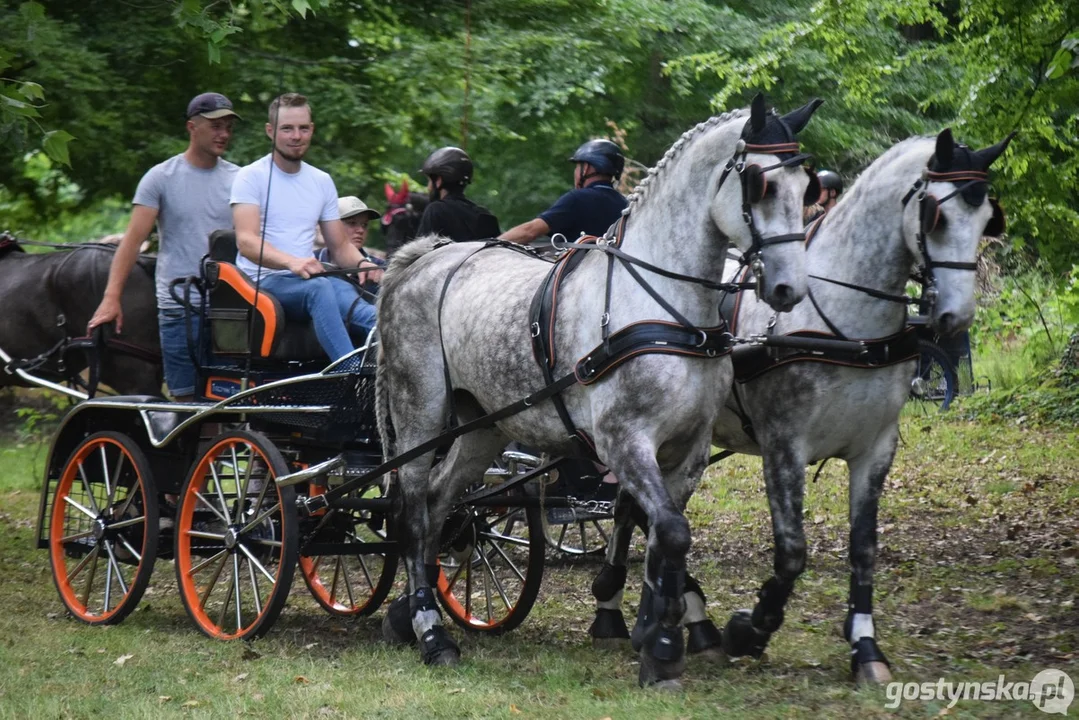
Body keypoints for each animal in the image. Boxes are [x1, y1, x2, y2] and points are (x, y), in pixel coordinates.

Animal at [375, 95, 820, 686]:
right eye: (758, 183)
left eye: (806, 186)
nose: (789, 287)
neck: (665, 309)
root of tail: (424, 257)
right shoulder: (623, 441)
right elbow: (669, 531)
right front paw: (660, 642)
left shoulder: (688, 449)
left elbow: (664, 536)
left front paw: (659, 629)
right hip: (419, 415)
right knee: (412, 511)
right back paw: (431, 630)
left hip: (483, 426)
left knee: (439, 501)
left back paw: (409, 612)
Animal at [586, 126, 1014, 686]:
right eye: (936, 216)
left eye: (987, 219)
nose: (955, 317)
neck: (845, 323)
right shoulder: (783, 446)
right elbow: (791, 552)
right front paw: (751, 629)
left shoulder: (877, 448)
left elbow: (864, 548)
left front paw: (865, 646)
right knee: (636, 511)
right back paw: (622, 608)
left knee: (641, 511)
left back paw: (659, 619)